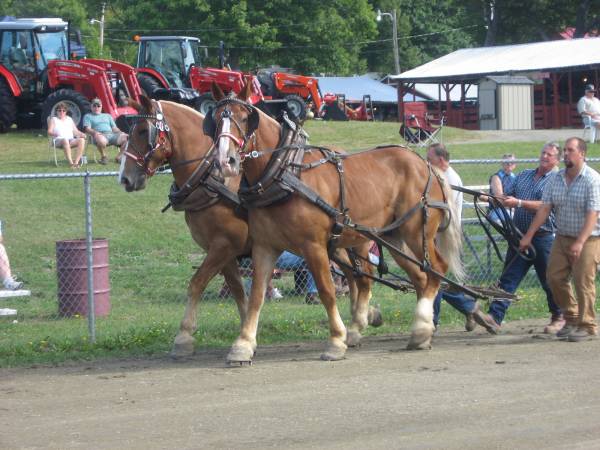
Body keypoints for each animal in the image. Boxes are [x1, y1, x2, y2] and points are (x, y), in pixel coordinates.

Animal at [119, 96, 382, 358]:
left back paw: (358, 320)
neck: (212, 180)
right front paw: (247, 334)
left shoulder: (224, 245)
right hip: (333, 243)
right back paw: (362, 318)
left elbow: (197, 283)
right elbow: (239, 290)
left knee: (362, 275)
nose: (124, 178)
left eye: (142, 131)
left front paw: (184, 337)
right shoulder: (225, 252)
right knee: (352, 273)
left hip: (352, 240)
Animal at [203, 81, 463, 363]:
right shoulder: (265, 246)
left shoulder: (314, 246)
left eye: (244, 118)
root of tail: (426, 166)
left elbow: (327, 291)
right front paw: (242, 345)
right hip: (394, 237)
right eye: (214, 120)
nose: (225, 161)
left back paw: (420, 328)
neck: (284, 172)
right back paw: (422, 331)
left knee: (436, 268)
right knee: (419, 276)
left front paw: (337, 341)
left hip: (417, 231)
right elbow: (257, 295)